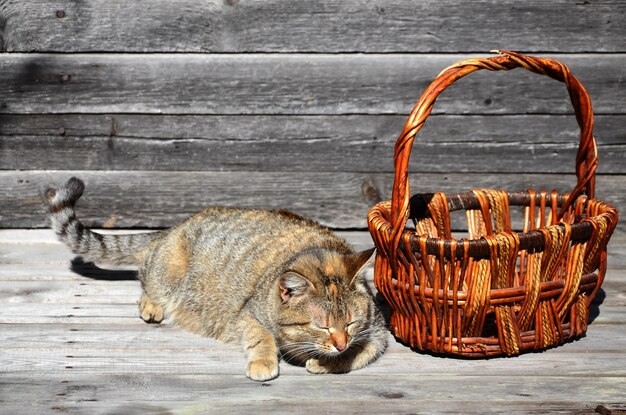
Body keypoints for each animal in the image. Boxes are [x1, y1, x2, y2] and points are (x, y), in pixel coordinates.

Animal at [41, 177, 388, 382]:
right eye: (322, 326)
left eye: (350, 323)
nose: (340, 342)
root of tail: (173, 228)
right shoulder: (247, 315)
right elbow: (262, 337)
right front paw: (265, 361)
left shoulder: (378, 332)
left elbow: (361, 352)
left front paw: (329, 361)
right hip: (169, 270)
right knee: (146, 279)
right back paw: (152, 303)